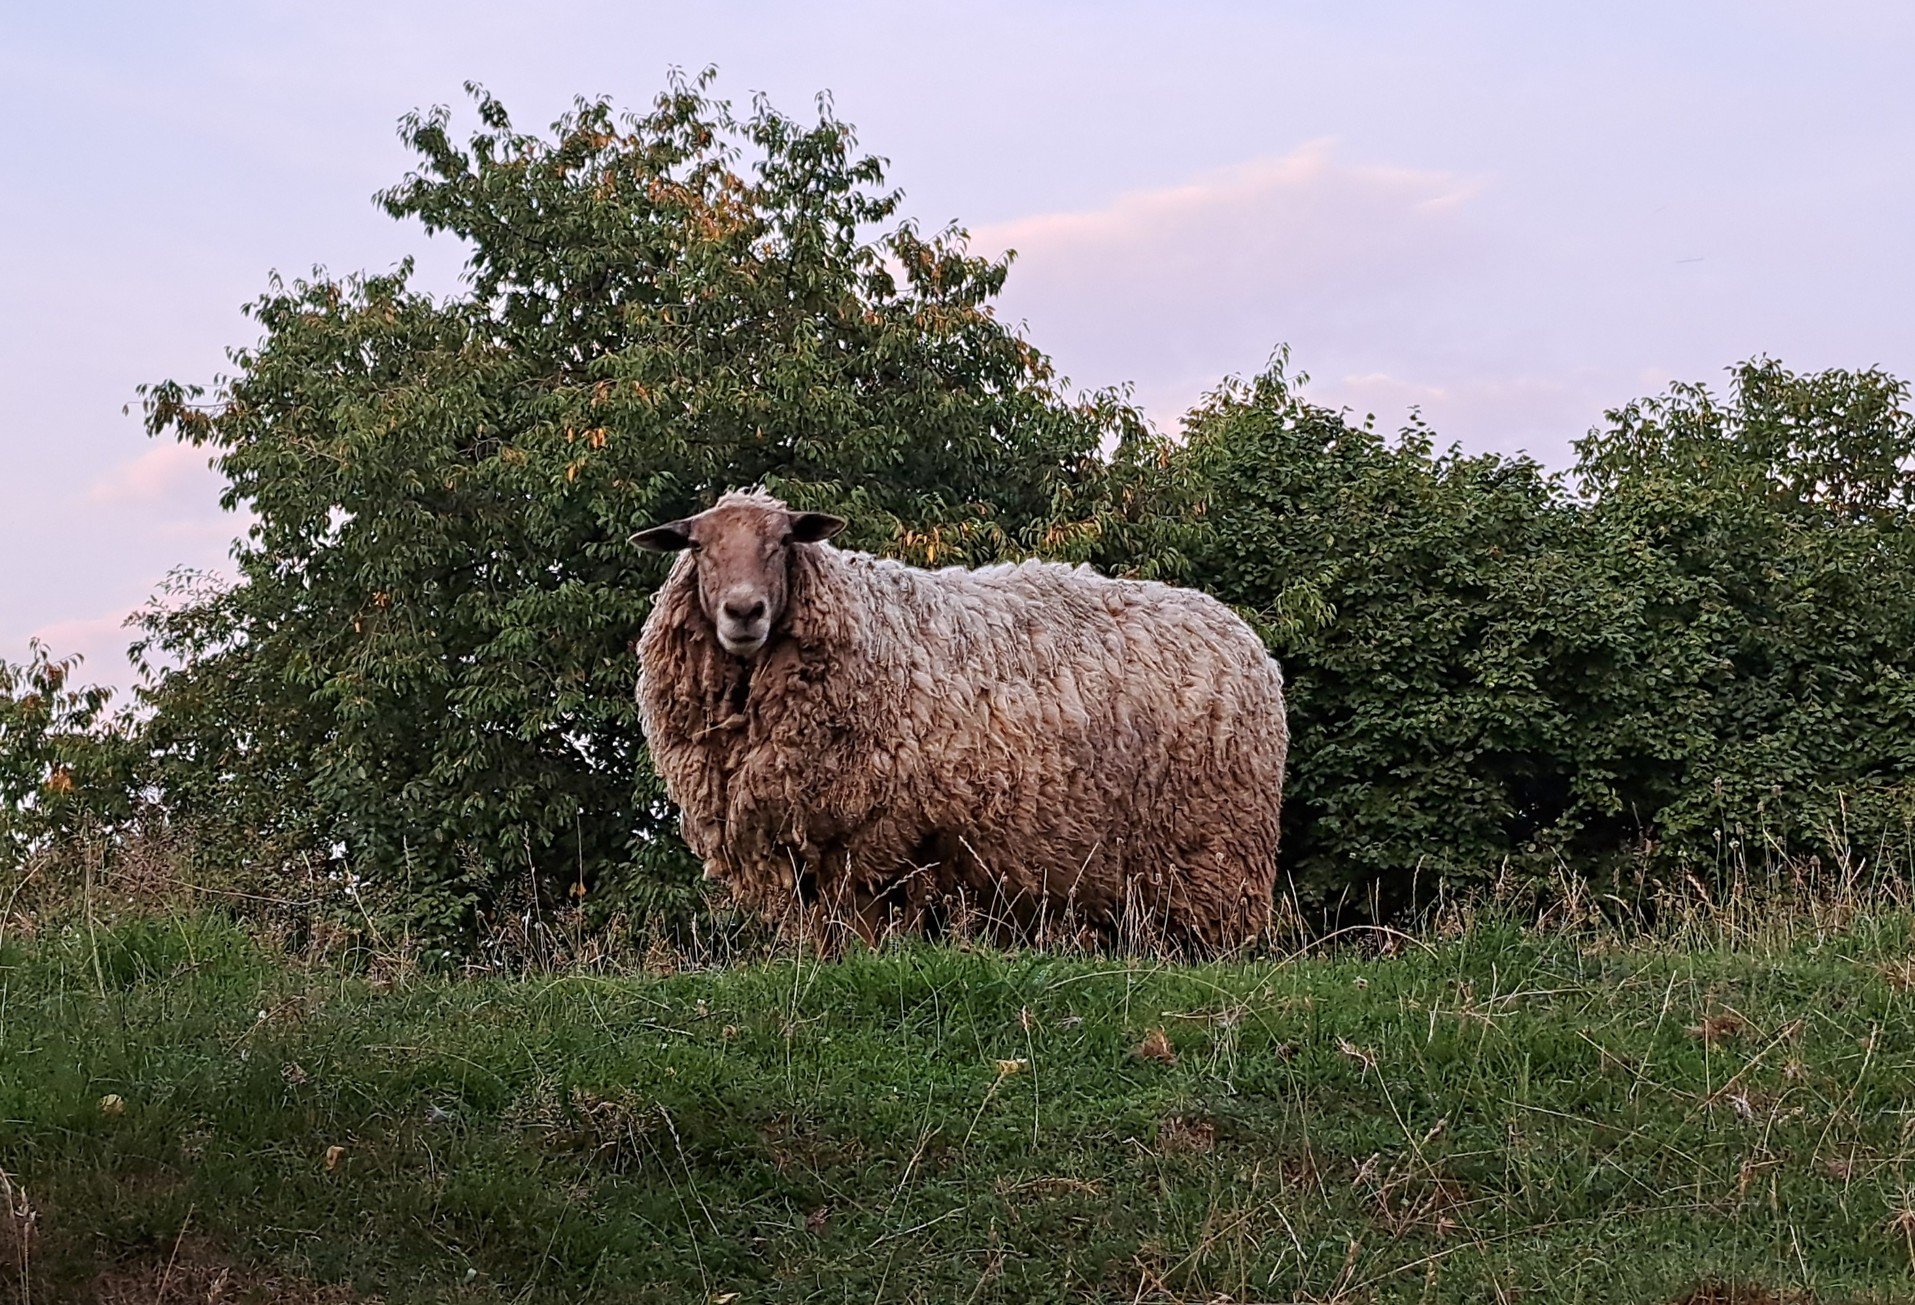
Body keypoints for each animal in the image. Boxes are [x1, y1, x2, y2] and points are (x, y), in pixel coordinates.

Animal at [632, 488, 1289, 951]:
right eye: (698, 547)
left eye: (783, 542)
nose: (744, 611)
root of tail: (1245, 637)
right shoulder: (805, 842)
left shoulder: (872, 834)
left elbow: (860, 930)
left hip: (1214, 849)